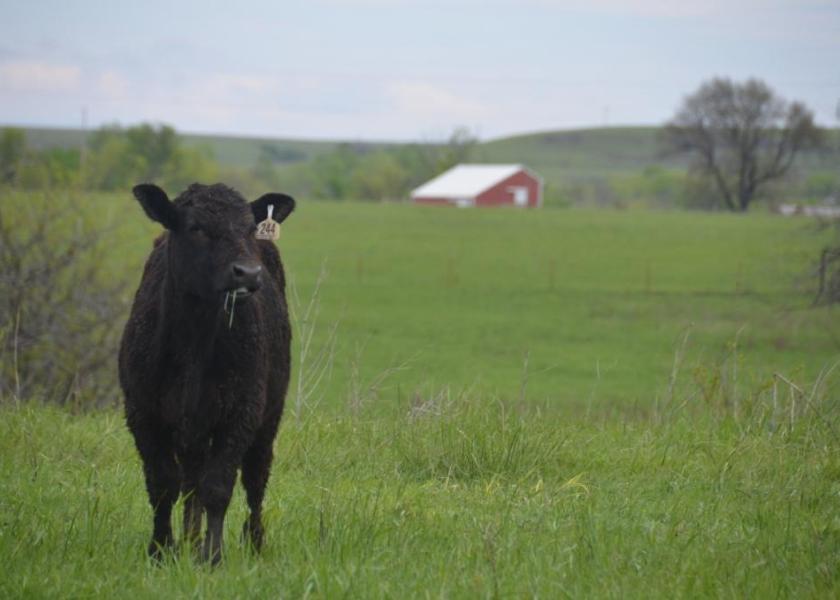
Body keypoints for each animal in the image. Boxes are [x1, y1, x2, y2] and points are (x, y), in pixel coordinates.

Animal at [119, 182, 296, 564]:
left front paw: (212, 556)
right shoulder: (142, 413)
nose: (248, 273)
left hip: (268, 415)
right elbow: (162, 484)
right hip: (191, 431)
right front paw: (160, 549)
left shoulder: (241, 413)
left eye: (249, 227)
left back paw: (254, 542)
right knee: (189, 482)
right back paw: (188, 538)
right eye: (195, 227)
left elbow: (218, 486)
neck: (194, 344)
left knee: (255, 478)